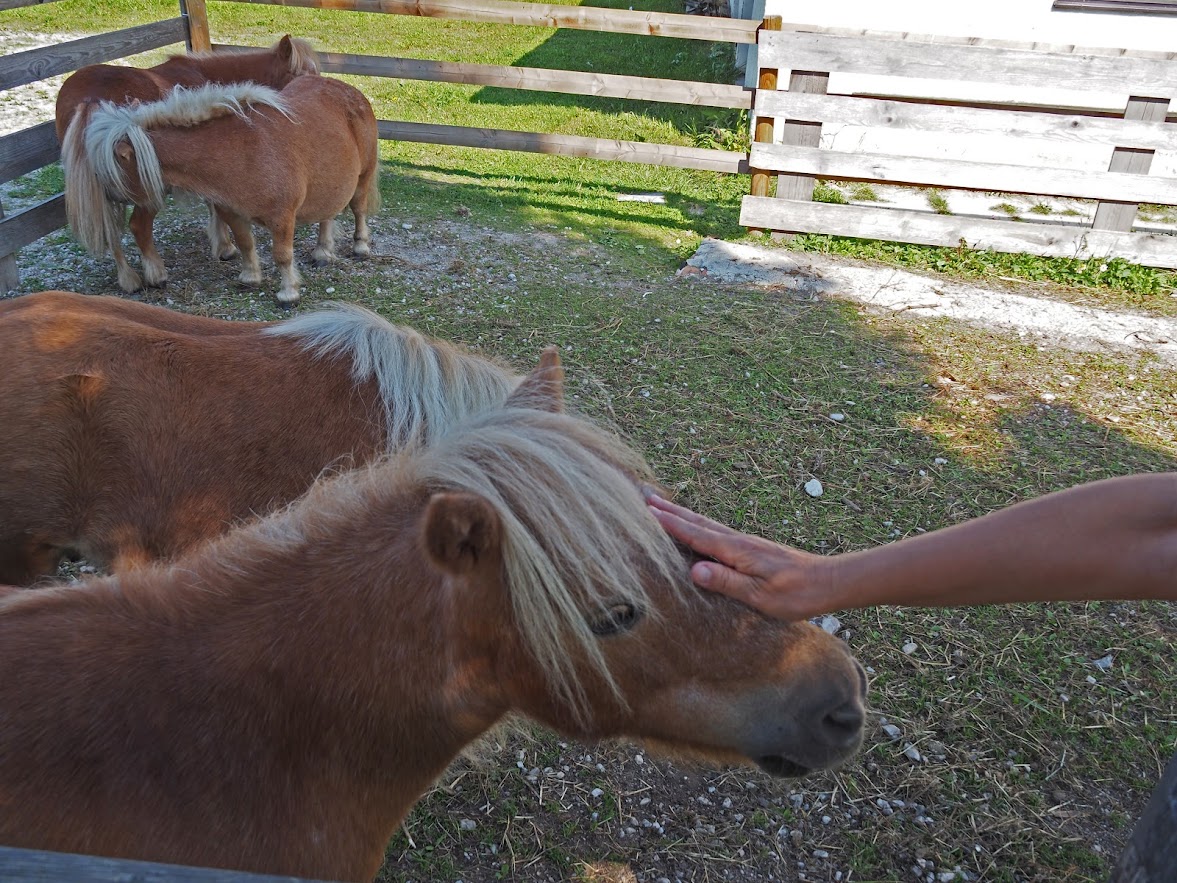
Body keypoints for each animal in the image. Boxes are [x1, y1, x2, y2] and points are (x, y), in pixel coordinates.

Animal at [57, 35, 320, 294]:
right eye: (301, 74)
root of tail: (90, 100)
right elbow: (215, 204)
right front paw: (225, 247)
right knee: (138, 226)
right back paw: (156, 274)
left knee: (111, 231)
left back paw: (128, 279)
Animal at [64, 79, 378, 308]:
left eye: (103, 169)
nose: (109, 198)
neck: (241, 151)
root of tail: (351, 90)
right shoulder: (231, 211)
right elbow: (245, 243)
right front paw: (250, 277)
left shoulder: (282, 216)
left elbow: (282, 255)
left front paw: (288, 293)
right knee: (327, 212)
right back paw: (323, 251)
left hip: (364, 175)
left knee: (358, 208)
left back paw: (360, 247)